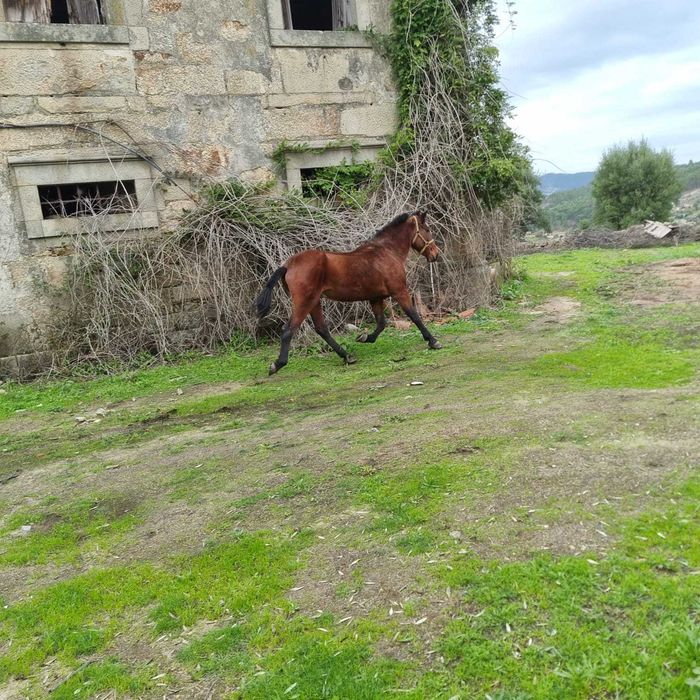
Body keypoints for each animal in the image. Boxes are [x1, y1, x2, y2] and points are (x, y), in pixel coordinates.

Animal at [256, 211, 442, 375]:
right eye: (427, 229)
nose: (435, 254)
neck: (386, 251)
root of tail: (288, 265)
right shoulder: (400, 291)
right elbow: (414, 316)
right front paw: (433, 341)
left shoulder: (375, 298)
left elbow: (381, 323)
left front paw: (365, 337)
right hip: (304, 302)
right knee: (289, 330)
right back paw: (277, 364)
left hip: (314, 302)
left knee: (322, 329)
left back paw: (347, 356)